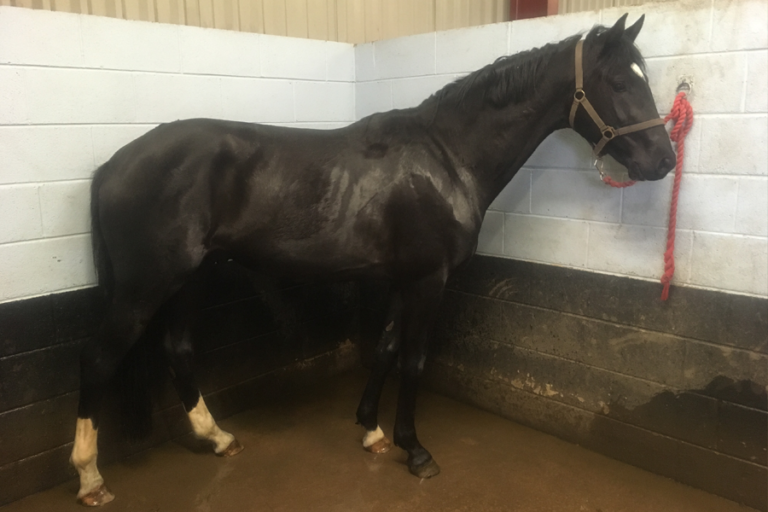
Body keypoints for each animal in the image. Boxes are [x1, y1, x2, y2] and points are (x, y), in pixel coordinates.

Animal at [70, 13, 675, 506]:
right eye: (620, 82)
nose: (663, 160)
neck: (447, 157)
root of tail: (113, 165)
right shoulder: (429, 280)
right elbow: (413, 360)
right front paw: (416, 450)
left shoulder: (404, 280)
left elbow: (384, 349)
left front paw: (372, 431)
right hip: (145, 286)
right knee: (97, 359)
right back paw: (91, 478)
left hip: (188, 278)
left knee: (177, 349)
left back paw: (218, 438)